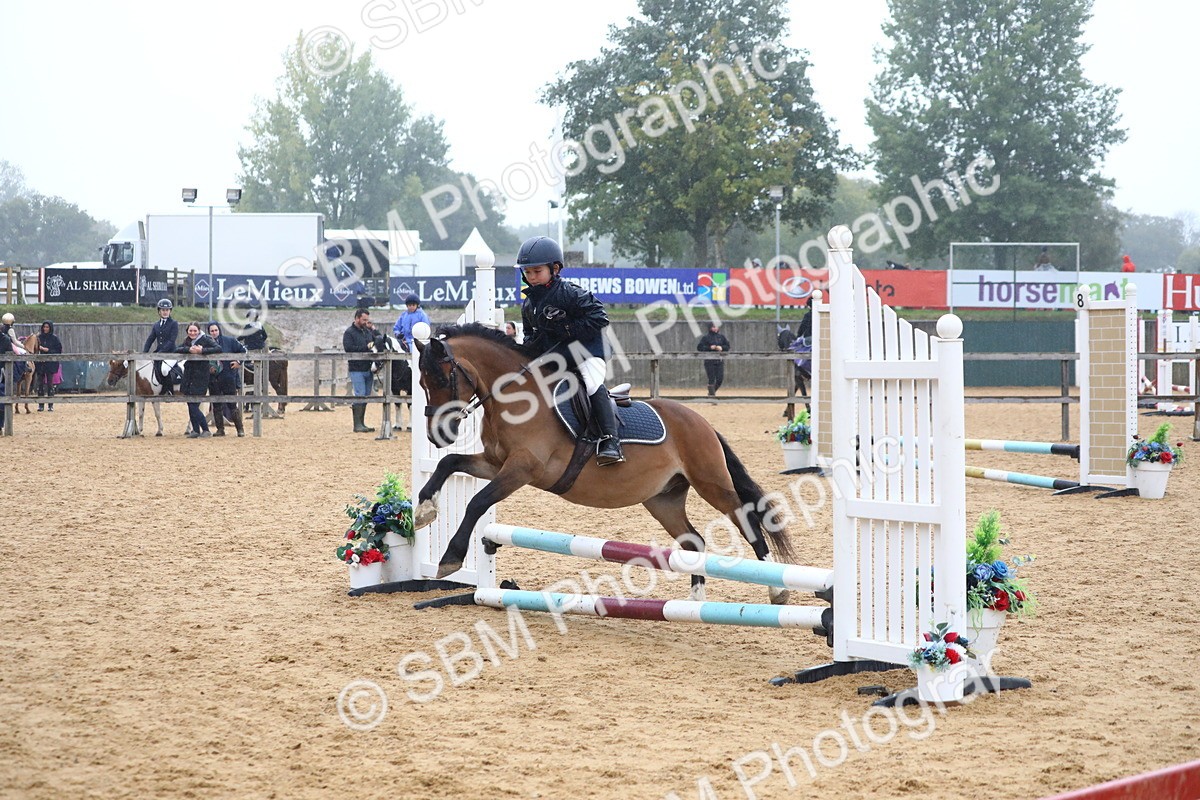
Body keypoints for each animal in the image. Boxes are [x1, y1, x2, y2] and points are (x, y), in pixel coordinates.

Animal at [412, 323, 797, 604]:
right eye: (421, 382)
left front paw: (450, 557)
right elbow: (449, 463)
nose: (437, 434)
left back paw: (777, 589)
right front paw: (424, 510)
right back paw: (695, 600)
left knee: (747, 521)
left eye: (444, 378)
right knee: (695, 542)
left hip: (711, 483)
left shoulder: (521, 468)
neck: (515, 399)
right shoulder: (495, 464)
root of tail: (701, 422)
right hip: (663, 500)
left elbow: (477, 501)